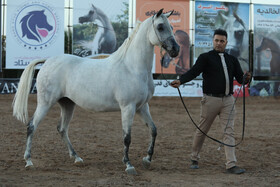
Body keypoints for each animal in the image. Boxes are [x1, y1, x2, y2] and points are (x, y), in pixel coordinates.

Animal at [12, 9, 179, 175]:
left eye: (171, 26)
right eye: (160, 27)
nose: (175, 50)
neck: (132, 67)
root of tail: (47, 61)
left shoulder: (142, 107)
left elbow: (153, 130)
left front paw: (147, 160)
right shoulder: (128, 107)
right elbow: (127, 137)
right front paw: (128, 165)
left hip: (67, 104)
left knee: (62, 129)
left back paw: (77, 158)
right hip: (45, 103)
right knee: (32, 126)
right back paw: (29, 161)